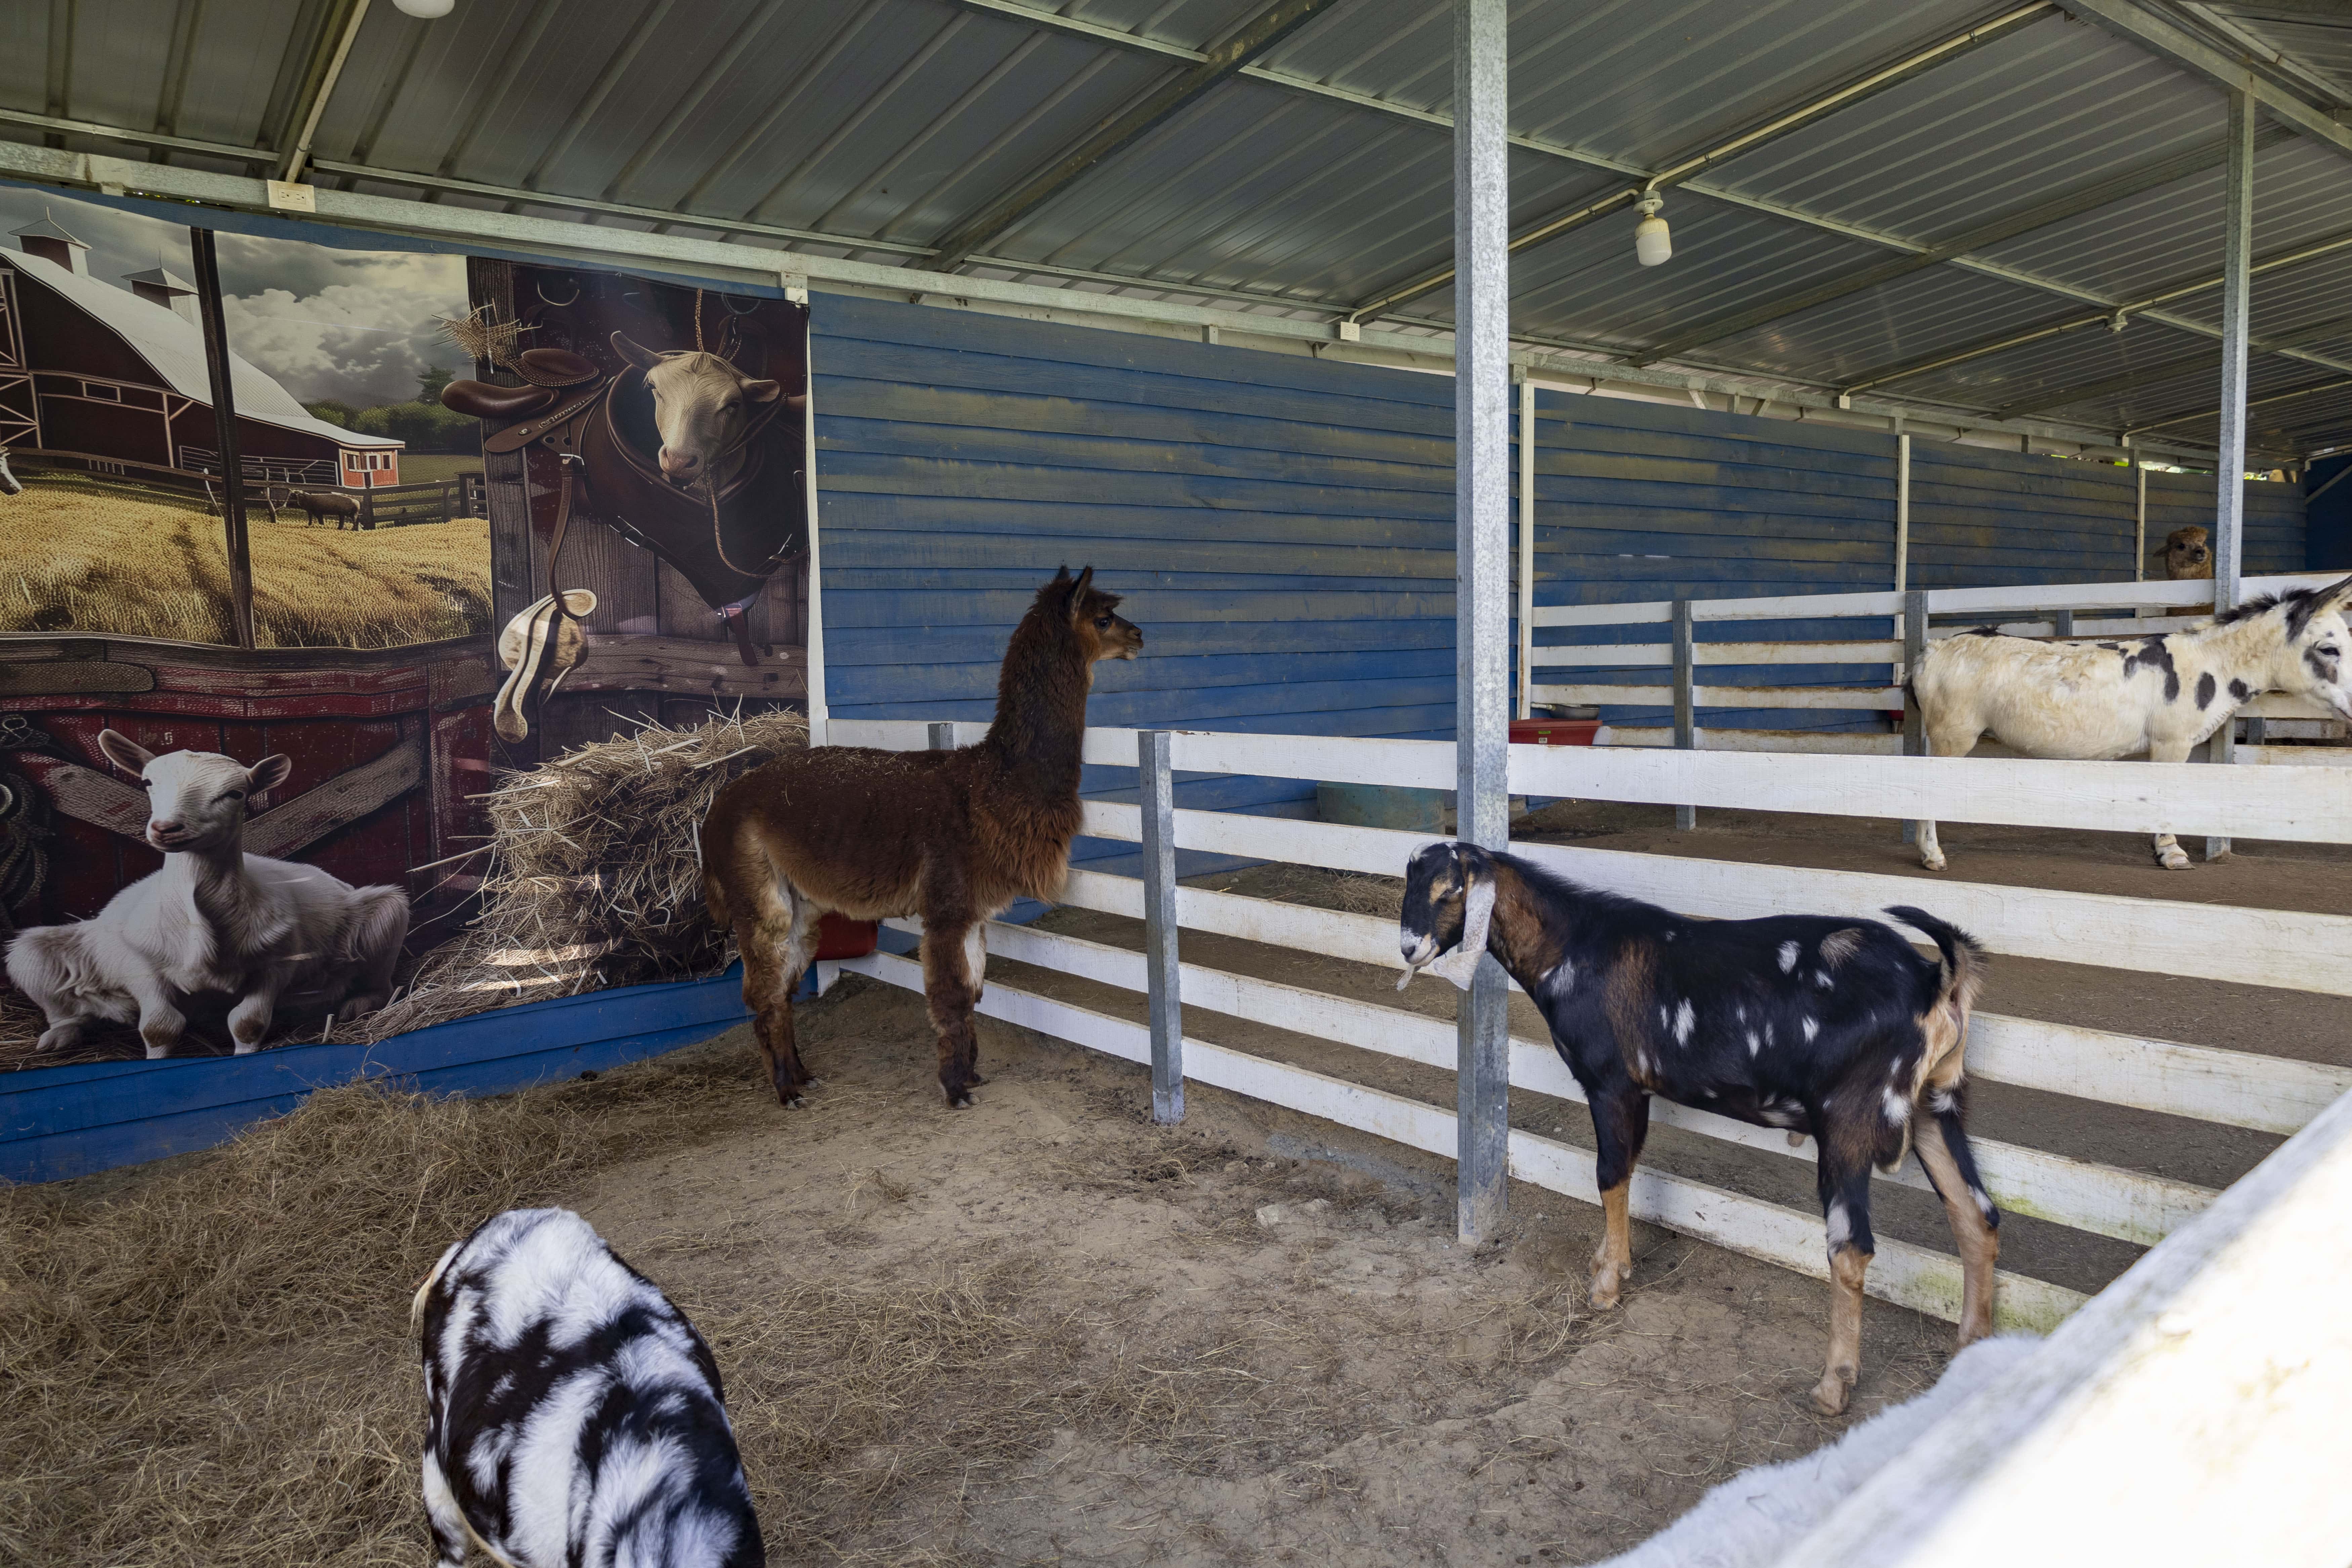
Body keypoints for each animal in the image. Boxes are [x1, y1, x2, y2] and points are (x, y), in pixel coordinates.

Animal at [8, 733, 409, 1053]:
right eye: (148, 781)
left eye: (236, 793)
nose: (166, 828)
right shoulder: (139, 964)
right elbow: (159, 1028)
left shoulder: (279, 962)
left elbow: (248, 1022)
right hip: (43, 951)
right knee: (45, 979)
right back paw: (60, 1035)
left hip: (389, 912)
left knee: (381, 979)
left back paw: (357, 1004)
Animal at [1402, 846, 1994, 1420]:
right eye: (1409, 881)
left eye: (1452, 889)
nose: (1409, 946)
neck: (1572, 946)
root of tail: (1936, 981)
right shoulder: (1638, 1092)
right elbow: (1626, 1170)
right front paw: (1610, 1260)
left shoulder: (1611, 1083)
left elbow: (1608, 1174)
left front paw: (1606, 1286)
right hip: (1937, 1104)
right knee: (1977, 1215)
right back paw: (1973, 1346)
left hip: (1848, 1118)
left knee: (1851, 1246)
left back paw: (1833, 1384)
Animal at [1910, 574, 2352, 870]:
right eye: (2329, 649)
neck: (2209, 664)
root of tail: (1935, 647)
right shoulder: (2172, 744)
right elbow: (2164, 796)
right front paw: (2171, 853)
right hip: (1953, 737)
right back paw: (1933, 855)